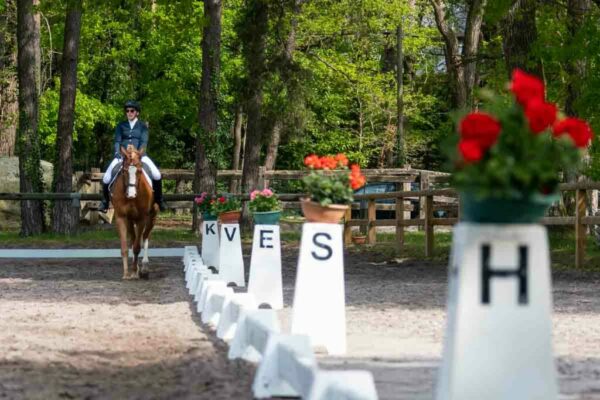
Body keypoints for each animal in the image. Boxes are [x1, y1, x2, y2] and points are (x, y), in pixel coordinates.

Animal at [109, 145, 158, 280]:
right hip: (130, 220)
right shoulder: (121, 217)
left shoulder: (142, 218)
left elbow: (137, 247)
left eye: (139, 171)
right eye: (124, 171)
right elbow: (125, 247)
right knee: (133, 238)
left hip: (152, 217)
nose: (131, 195)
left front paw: (135, 272)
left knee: (145, 236)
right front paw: (127, 273)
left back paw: (144, 268)